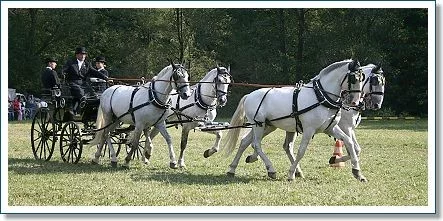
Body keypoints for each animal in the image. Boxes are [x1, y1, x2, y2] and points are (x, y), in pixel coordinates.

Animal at [222, 59, 368, 181]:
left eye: (362, 78)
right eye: (354, 78)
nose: (355, 102)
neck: (320, 97)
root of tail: (249, 95)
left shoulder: (330, 128)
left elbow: (349, 142)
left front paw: (357, 172)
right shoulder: (309, 130)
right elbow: (301, 151)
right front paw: (291, 174)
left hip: (267, 126)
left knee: (244, 142)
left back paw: (232, 169)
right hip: (259, 125)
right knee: (256, 144)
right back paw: (271, 169)